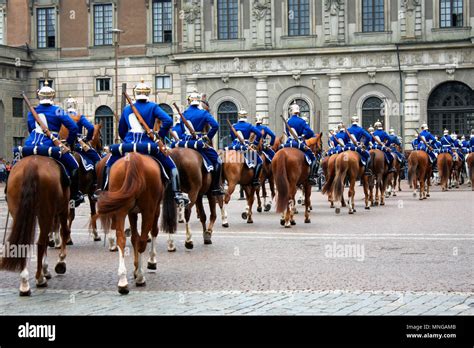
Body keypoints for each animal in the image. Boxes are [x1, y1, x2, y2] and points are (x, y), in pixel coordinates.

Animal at [0, 158, 71, 296]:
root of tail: (31, 164)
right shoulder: (63, 209)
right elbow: (63, 232)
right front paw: (60, 262)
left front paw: (46, 269)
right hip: (46, 213)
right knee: (41, 242)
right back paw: (39, 279)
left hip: (19, 212)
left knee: (23, 242)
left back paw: (24, 283)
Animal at [96, 153, 178, 294]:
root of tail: (133, 158)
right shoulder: (155, 209)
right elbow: (151, 233)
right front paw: (150, 262)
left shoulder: (131, 212)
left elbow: (134, 237)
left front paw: (134, 270)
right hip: (149, 210)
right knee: (143, 241)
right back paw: (140, 276)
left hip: (121, 210)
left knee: (122, 239)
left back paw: (123, 281)